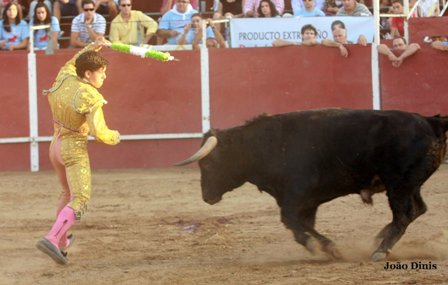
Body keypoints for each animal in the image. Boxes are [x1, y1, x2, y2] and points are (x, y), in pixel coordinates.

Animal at [175, 108, 448, 260]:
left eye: (209, 164)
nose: (207, 196)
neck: (264, 145)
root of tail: (430, 121)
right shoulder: (306, 201)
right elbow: (301, 224)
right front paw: (322, 247)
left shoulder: (297, 195)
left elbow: (291, 220)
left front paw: (325, 247)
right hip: (410, 185)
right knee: (418, 209)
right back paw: (378, 239)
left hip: (398, 185)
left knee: (403, 215)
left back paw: (380, 250)